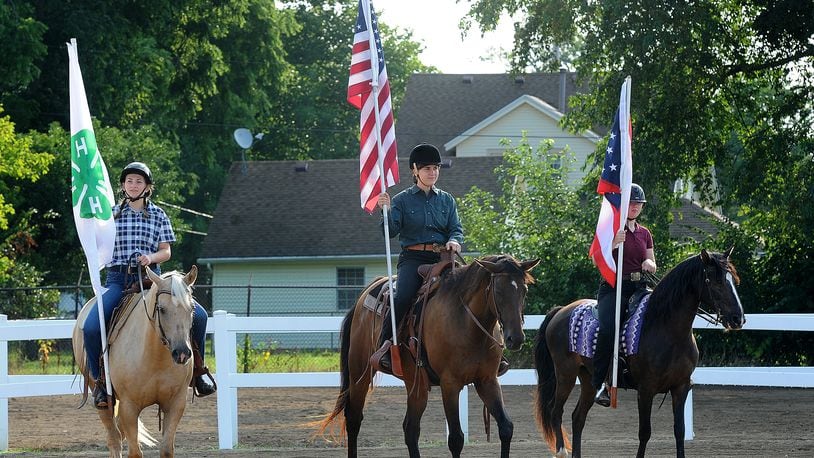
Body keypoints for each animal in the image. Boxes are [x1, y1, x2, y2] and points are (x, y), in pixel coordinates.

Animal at [74, 266, 200, 456]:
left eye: (191, 308)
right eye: (161, 309)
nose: (182, 353)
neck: (155, 357)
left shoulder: (176, 404)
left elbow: (166, 449)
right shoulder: (129, 407)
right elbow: (134, 452)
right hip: (101, 397)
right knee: (114, 439)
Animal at [318, 254, 540, 458]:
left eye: (524, 290)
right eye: (499, 290)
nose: (515, 338)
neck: (467, 323)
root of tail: (366, 293)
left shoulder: (487, 381)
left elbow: (506, 428)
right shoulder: (450, 384)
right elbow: (456, 439)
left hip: (416, 384)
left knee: (410, 428)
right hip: (360, 374)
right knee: (354, 419)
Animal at [536, 249, 744, 456]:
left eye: (733, 280)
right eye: (716, 281)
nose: (738, 319)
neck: (664, 327)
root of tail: (561, 310)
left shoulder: (681, 387)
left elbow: (679, 430)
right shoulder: (646, 389)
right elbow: (645, 432)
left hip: (588, 378)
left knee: (578, 417)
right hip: (565, 374)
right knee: (556, 411)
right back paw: (561, 451)